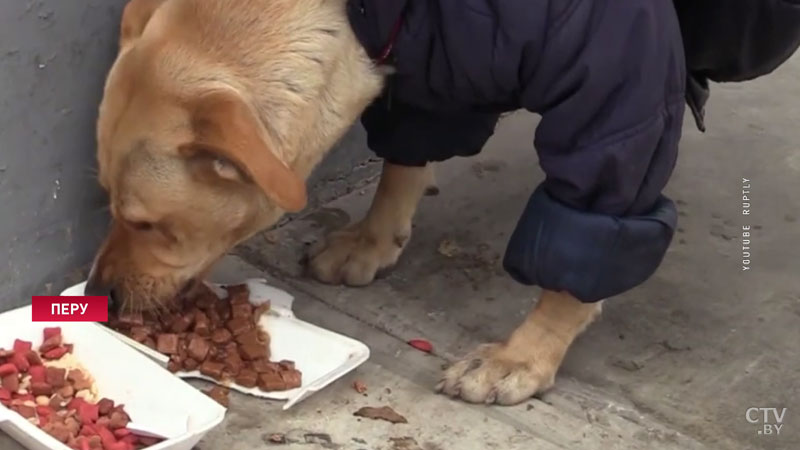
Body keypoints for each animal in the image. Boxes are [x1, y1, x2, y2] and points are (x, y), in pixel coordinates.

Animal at [87, 0, 600, 406]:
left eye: (145, 224)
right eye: (109, 201)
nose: (96, 293)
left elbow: (577, 242)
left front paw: (524, 355)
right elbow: (405, 156)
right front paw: (374, 240)